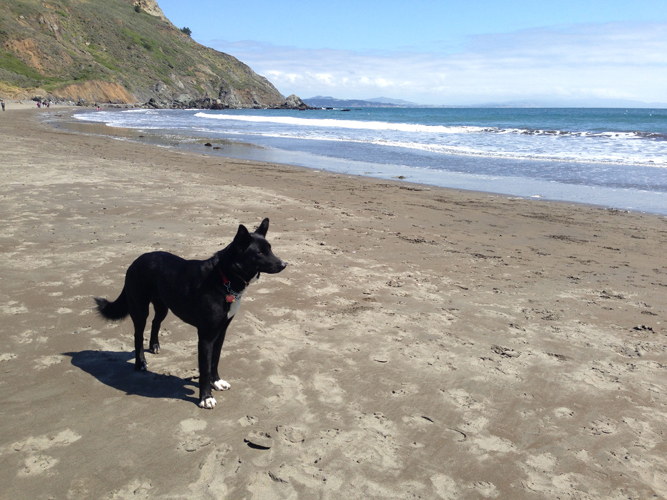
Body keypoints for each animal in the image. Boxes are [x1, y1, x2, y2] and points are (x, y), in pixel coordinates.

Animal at [92, 218, 286, 406]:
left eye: (270, 249)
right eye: (259, 253)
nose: (284, 264)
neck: (224, 278)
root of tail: (135, 261)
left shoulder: (221, 332)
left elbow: (215, 360)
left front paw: (217, 382)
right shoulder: (206, 336)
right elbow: (205, 368)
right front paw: (205, 398)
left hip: (163, 306)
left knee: (156, 322)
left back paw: (154, 346)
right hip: (140, 310)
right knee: (138, 334)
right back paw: (140, 363)